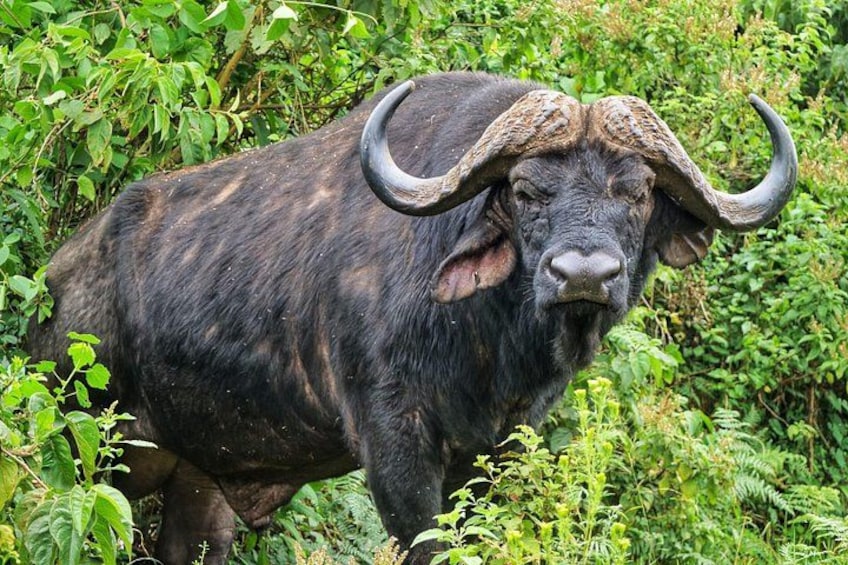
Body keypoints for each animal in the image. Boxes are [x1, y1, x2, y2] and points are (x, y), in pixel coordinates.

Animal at [27, 72, 797, 564]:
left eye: (636, 193)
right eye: (526, 190)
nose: (584, 274)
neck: (484, 346)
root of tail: (54, 281)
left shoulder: (497, 451)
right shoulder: (392, 444)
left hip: (198, 483)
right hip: (81, 442)